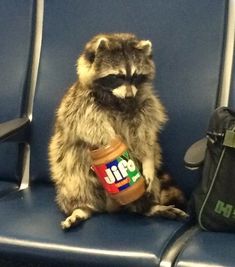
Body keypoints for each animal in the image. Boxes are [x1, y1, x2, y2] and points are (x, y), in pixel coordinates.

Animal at [48, 33, 187, 230]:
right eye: (117, 77)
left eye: (135, 76)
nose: (129, 95)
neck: (116, 99)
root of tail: (110, 208)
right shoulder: (81, 105)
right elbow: (93, 131)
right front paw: (111, 147)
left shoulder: (145, 103)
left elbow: (146, 134)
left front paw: (147, 160)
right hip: (72, 175)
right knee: (76, 184)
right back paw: (81, 208)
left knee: (148, 191)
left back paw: (149, 207)